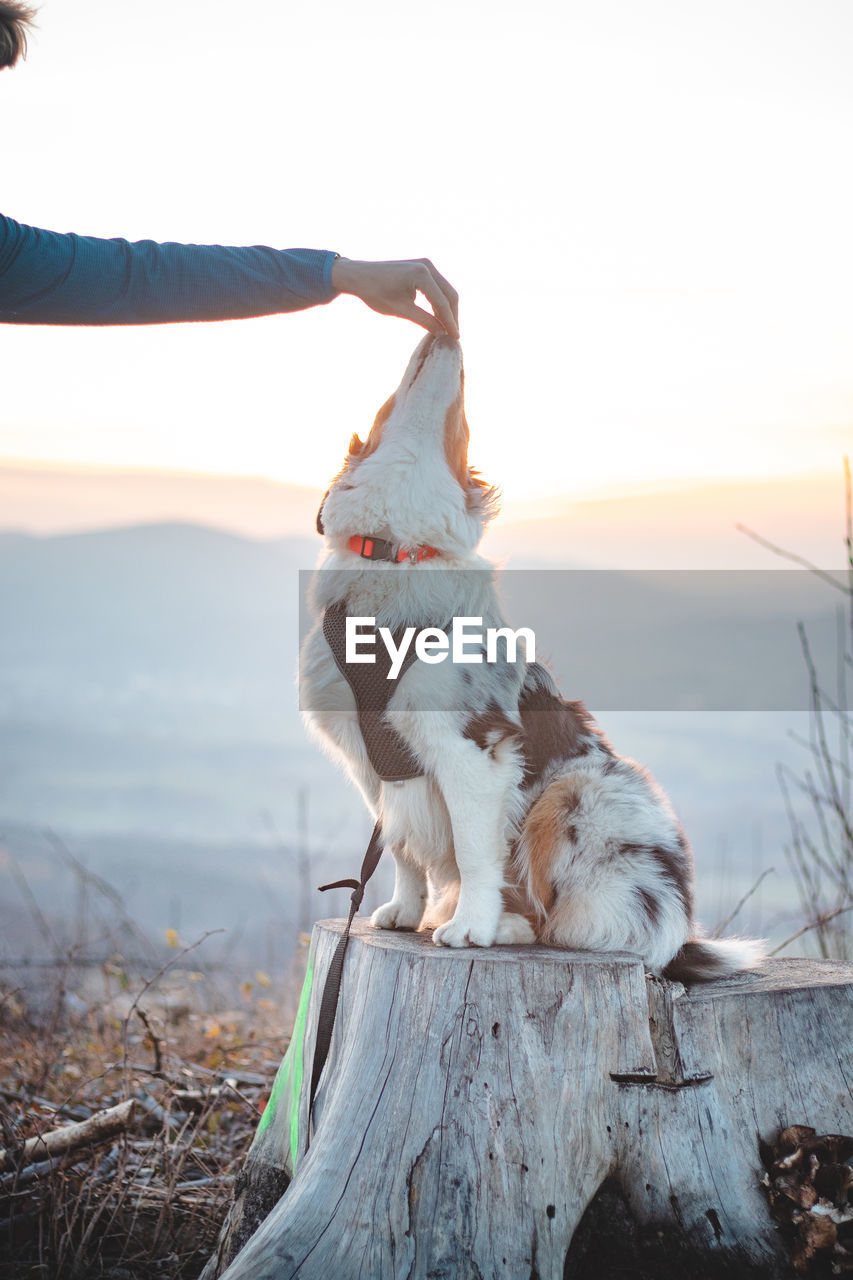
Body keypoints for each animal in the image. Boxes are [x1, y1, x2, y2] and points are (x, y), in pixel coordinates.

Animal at [300, 332, 763, 977]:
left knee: (580, 927)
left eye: (463, 423)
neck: (397, 553)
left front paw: (470, 927)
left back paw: (506, 926)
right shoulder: (375, 761)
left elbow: (474, 849)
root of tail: (676, 935)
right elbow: (401, 845)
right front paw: (405, 911)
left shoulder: (471, 746)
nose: (445, 333)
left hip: (579, 794)